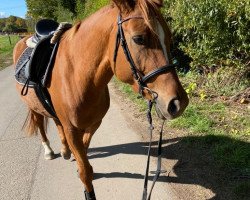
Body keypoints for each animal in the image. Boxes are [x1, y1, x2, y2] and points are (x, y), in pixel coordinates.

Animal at [12, 0, 188, 198]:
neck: (77, 76)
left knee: (56, 121)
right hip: (33, 107)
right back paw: (49, 150)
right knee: (40, 124)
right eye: (138, 39)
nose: (178, 103)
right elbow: (85, 171)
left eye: (169, 38)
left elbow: (84, 151)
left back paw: (64, 150)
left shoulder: (94, 123)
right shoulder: (72, 129)